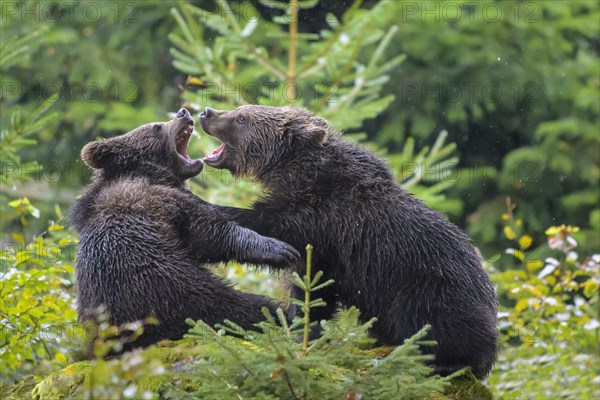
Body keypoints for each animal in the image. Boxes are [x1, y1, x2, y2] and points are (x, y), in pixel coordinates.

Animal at [69, 108, 298, 354]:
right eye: (156, 126)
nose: (183, 111)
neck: (152, 172)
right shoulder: (154, 200)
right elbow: (207, 230)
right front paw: (279, 250)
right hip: (168, 286)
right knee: (228, 305)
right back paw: (281, 314)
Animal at [199, 105, 500, 378]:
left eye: (241, 117)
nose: (206, 112)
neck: (298, 175)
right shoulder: (322, 248)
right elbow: (312, 291)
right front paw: (303, 329)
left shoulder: (321, 219)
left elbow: (266, 222)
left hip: (431, 285)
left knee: (434, 324)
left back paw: (442, 362)